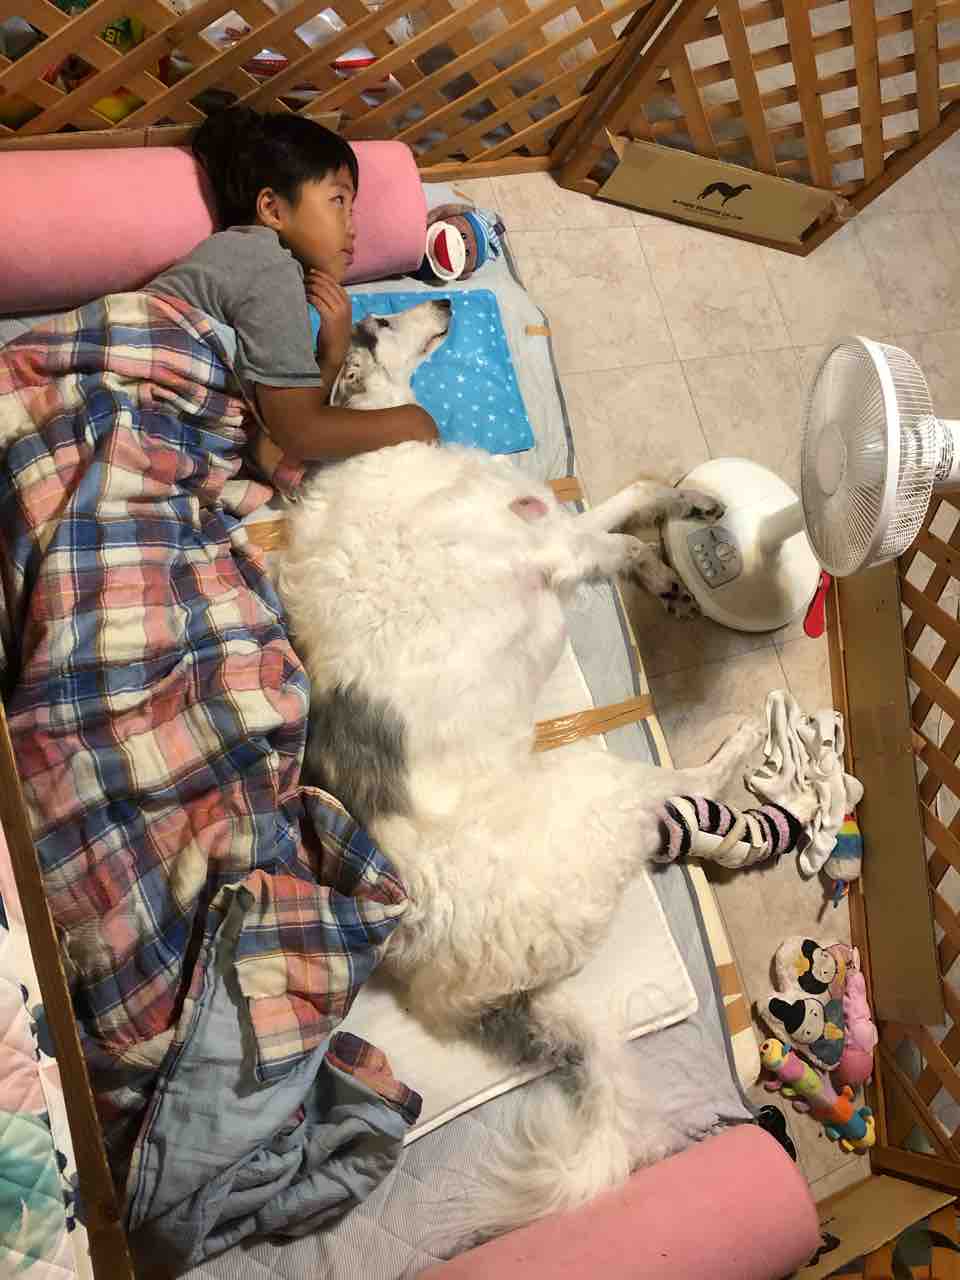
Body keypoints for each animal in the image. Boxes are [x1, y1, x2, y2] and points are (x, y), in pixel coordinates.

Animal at [277, 302, 764, 1242]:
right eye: (380, 319)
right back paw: (741, 740)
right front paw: (678, 537)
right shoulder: (551, 545)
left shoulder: (553, 526)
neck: (365, 451)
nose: (445, 303)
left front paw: (677, 532)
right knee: (694, 790)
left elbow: (627, 513)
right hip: (598, 786)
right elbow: (626, 525)